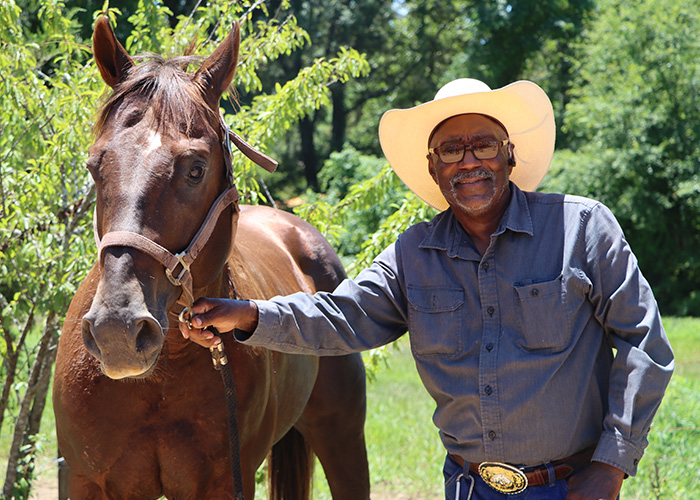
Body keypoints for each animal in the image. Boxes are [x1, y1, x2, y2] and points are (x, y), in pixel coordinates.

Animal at [53, 17, 372, 498]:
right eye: (94, 166)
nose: (117, 330)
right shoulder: (88, 481)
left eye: (196, 169)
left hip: (343, 438)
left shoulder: (224, 483)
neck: (161, 376)